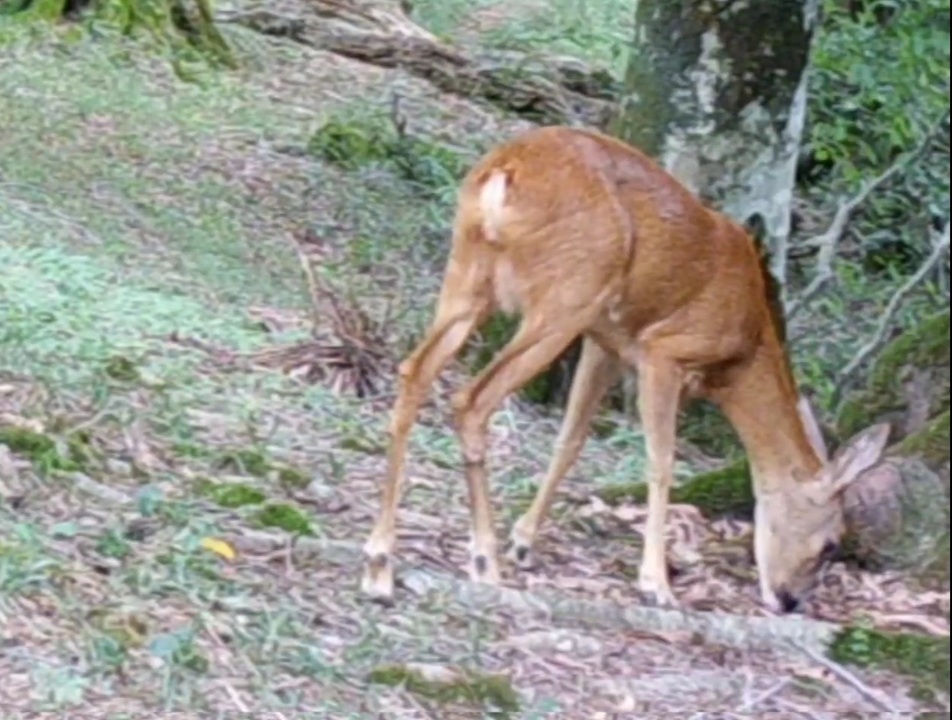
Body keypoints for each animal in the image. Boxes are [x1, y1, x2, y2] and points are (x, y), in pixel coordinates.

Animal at [358, 125, 892, 612]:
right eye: (831, 542)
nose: (790, 601)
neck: (741, 351)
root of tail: (504, 172)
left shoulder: (607, 343)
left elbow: (571, 438)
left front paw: (525, 540)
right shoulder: (664, 351)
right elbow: (661, 461)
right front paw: (656, 583)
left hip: (469, 277)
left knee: (413, 371)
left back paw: (381, 565)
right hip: (566, 295)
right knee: (471, 399)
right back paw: (482, 561)